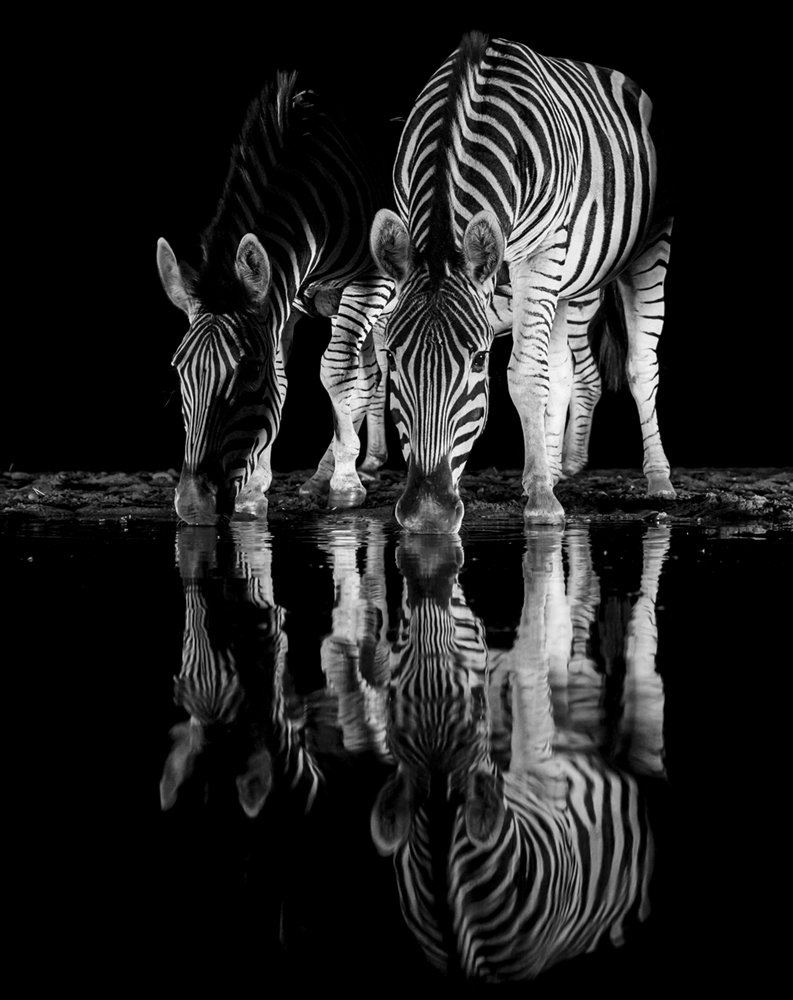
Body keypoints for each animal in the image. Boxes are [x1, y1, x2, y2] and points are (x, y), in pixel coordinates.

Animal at [156, 72, 394, 525]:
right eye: (179, 370)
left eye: (248, 372)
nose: (194, 507)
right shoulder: (286, 302)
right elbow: (284, 384)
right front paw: (255, 490)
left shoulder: (371, 281)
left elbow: (335, 371)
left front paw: (345, 487)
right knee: (376, 374)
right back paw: (355, 467)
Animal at [370, 33, 674, 532]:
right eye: (395, 359)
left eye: (478, 360)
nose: (429, 515)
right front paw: (541, 482)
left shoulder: (541, 251)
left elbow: (527, 374)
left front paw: (543, 504)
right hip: (569, 280)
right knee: (565, 366)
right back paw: (550, 468)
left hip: (649, 245)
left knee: (640, 366)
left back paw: (659, 480)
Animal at [371, 525, 668, 981]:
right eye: (389, 700)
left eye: (477, 704)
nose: (430, 591)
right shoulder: (541, 768)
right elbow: (538, 649)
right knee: (612, 652)